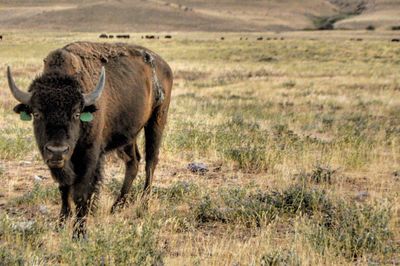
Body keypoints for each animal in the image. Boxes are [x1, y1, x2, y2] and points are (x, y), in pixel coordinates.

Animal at [6, 42, 172, 239]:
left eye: (76, 114)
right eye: (37, 113)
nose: (57, 151)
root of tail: (164, 65)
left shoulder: (89, 156)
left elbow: (81, 193)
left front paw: (80, 232)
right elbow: (64, 189)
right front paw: (61, 223)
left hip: (157, 119)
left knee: (150, 162)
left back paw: (144, 204)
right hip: (129, 135)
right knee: (133, 162)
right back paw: (117, 206)